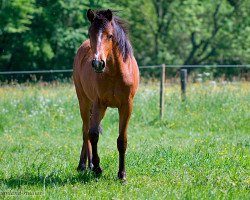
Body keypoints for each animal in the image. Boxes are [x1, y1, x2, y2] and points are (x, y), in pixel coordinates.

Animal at [73, 9, 140, 180]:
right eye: (90, 33)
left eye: (110, 35)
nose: (98, 63)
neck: (115, 72)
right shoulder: (98, 103)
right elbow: (93, 134)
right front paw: (97, 168)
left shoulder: (126, 106)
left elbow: (122, 140)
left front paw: (122, 174)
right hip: (84, 102)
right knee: (85, 130)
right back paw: (84, 165)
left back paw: (87, 164)